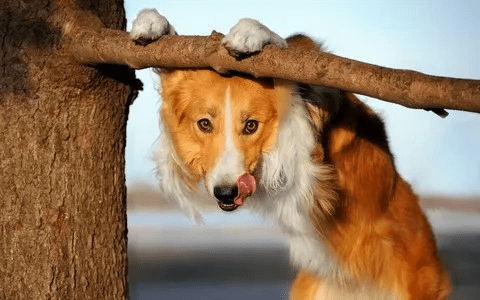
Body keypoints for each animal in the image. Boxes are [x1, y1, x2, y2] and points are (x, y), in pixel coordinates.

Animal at [130, 9, 450, 300]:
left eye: (251, 125)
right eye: (204, 124)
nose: (226, 193)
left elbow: (292, 72)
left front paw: (252, 32)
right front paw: (153, 23)